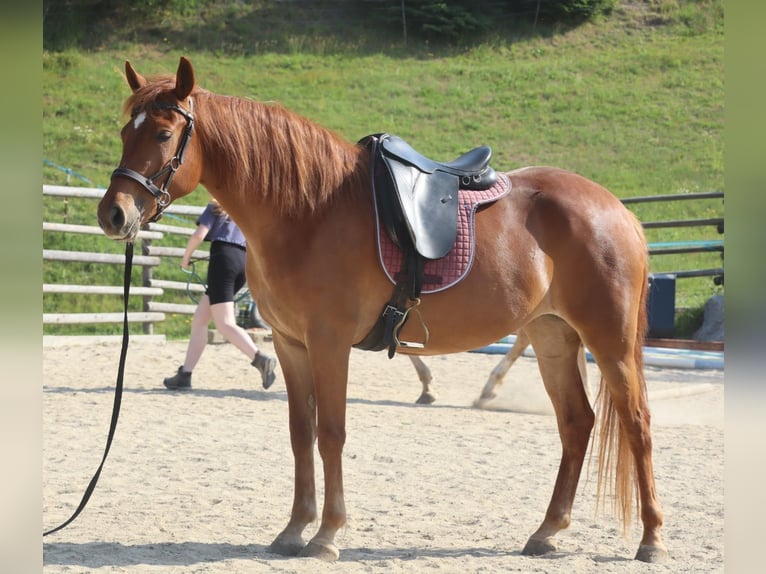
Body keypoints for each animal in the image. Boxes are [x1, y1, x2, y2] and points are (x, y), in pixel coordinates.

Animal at [97, 57, 667, 563]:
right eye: (125, 131)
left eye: (164, 134)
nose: (113, 214)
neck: (308, 211)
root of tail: (616, 210)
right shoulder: (291, 344)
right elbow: (300, 434)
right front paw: (293, 530)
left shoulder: (329, 344)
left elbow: (331, 433)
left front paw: (327, 535)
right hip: (552, 337)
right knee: (576, 422)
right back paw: (546, 532)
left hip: (609, 341)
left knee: (637, 422)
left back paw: (652, 540)